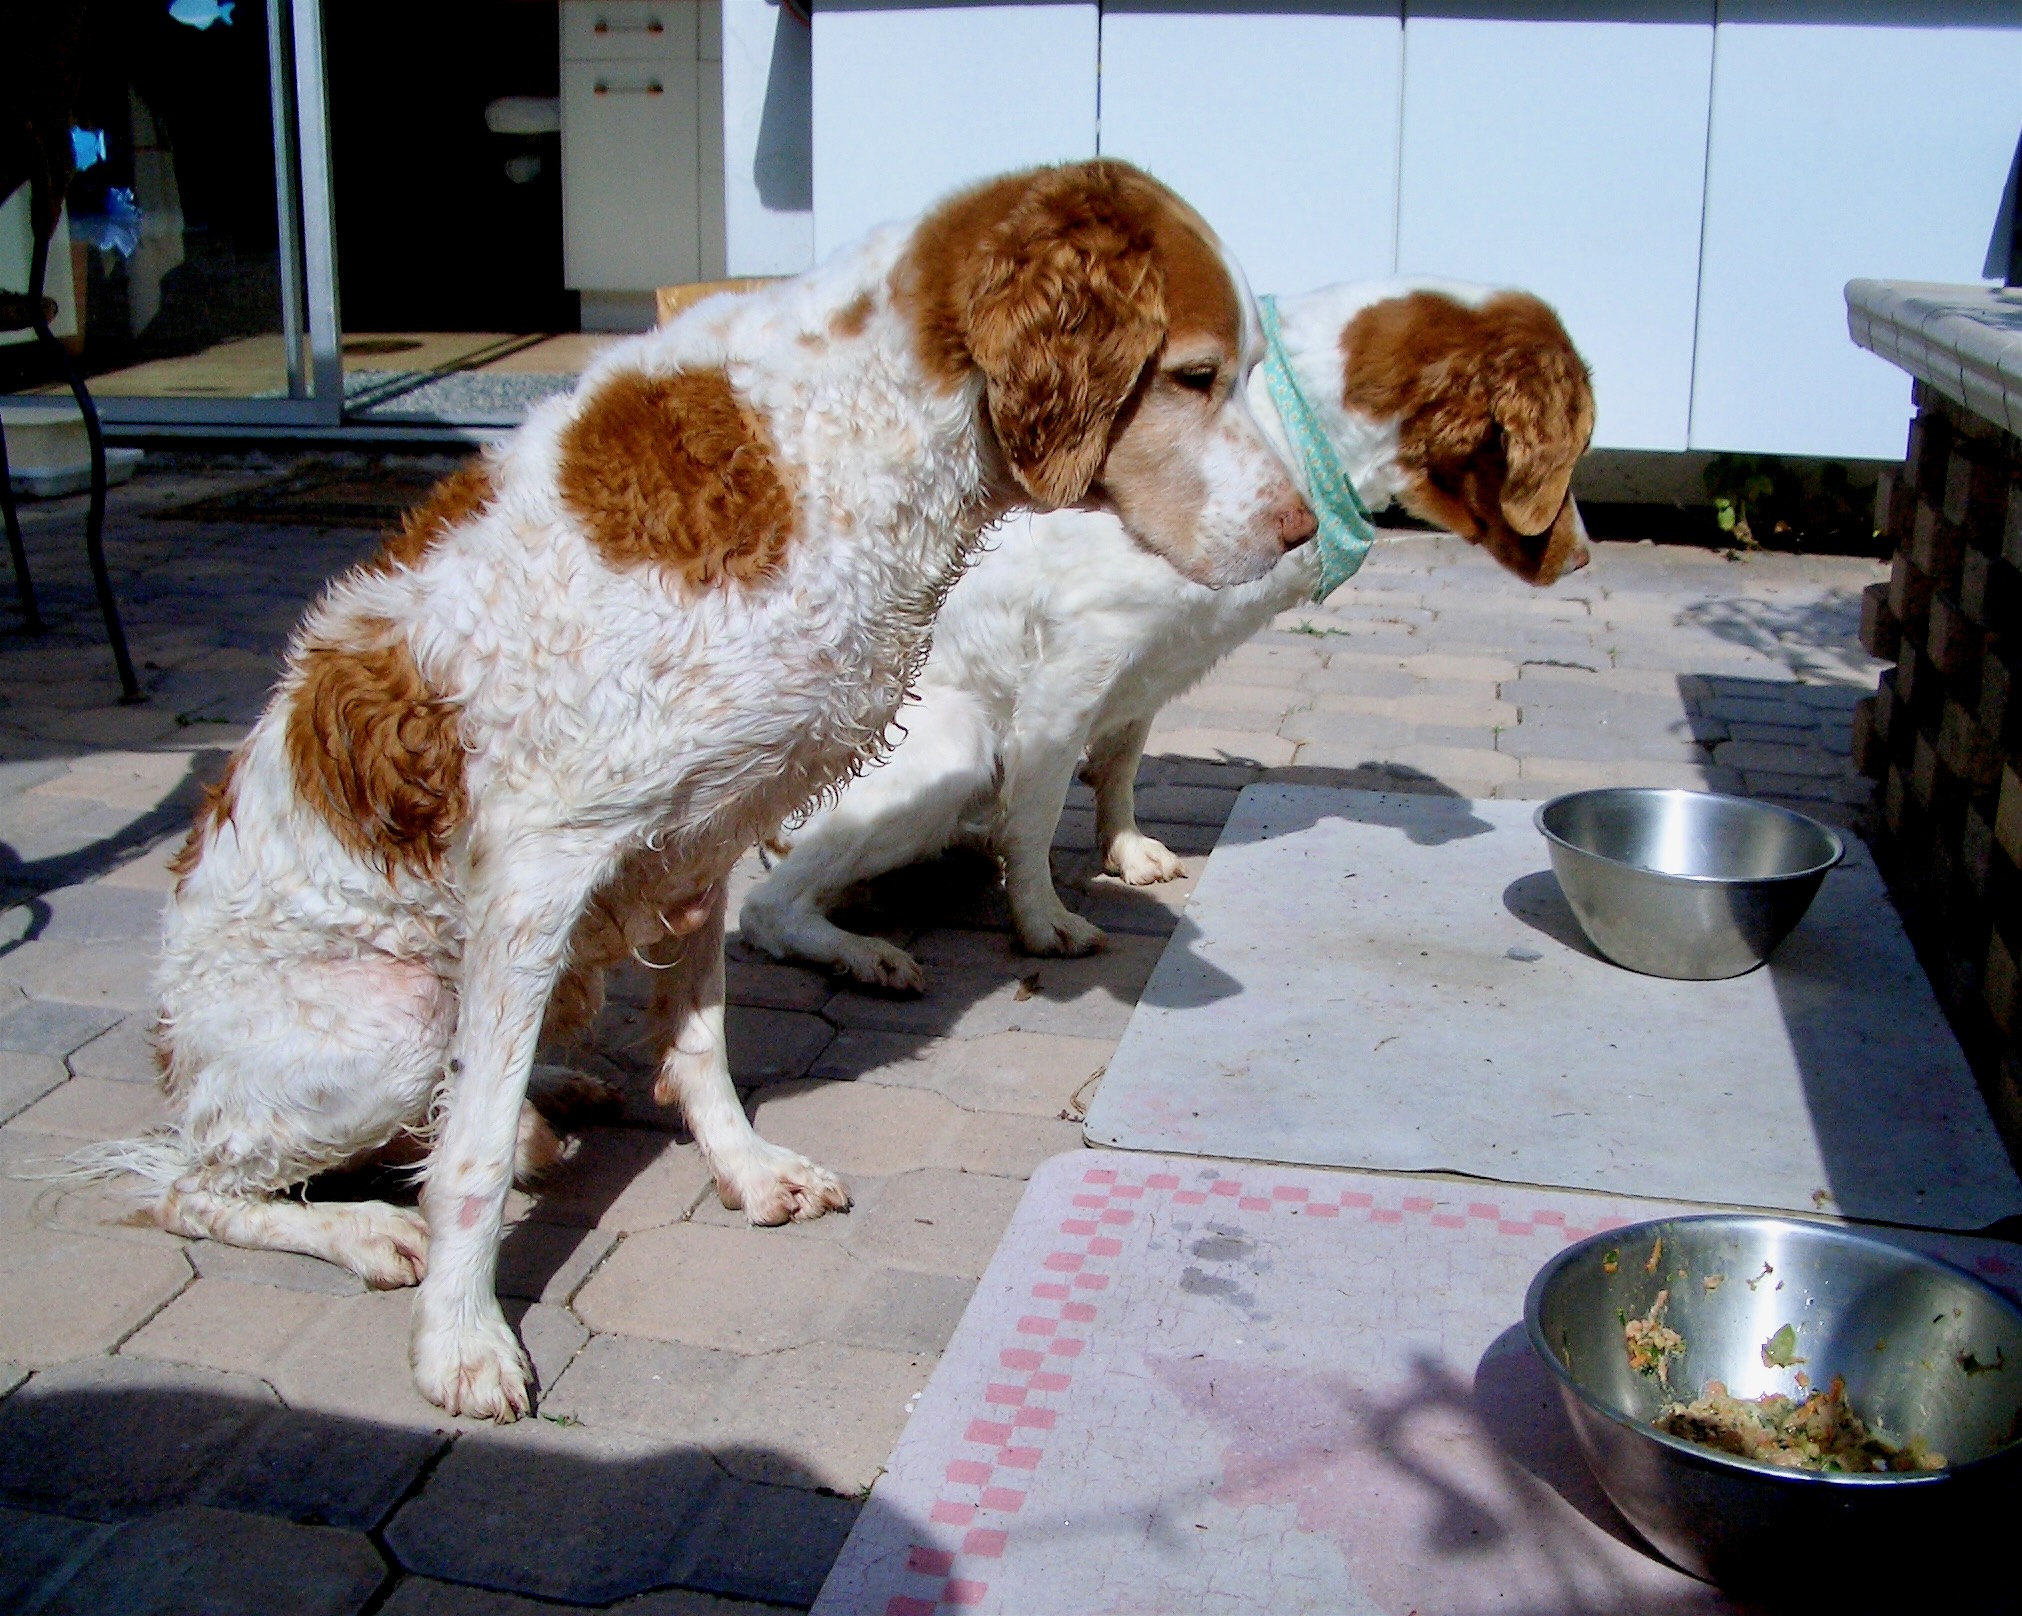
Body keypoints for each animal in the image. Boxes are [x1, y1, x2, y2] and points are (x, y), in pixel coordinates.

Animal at [78, 163, 1310, 1423]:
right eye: (1196, 374)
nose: (1304, 529)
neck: (842, 438)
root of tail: (176, 1052)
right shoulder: (539, 862)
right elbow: (471, 1153)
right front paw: (462, 1338)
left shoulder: (699, 840)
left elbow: (700, 1038)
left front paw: (746, 1167)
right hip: (384, 1024)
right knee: (188, 1178)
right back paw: (374, 1226)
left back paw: (555, 1095)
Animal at [731, 279, 1593, 986]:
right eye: (1575, 446)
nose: (1585, 558)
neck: (1291, 432)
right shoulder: (1074, 665)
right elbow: (1036, 815)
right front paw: (1043, 920)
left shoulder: (1145, 672)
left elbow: (1119, 769)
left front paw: (1125, 850)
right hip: (952, 748)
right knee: (768, 907)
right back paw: (860, 953)